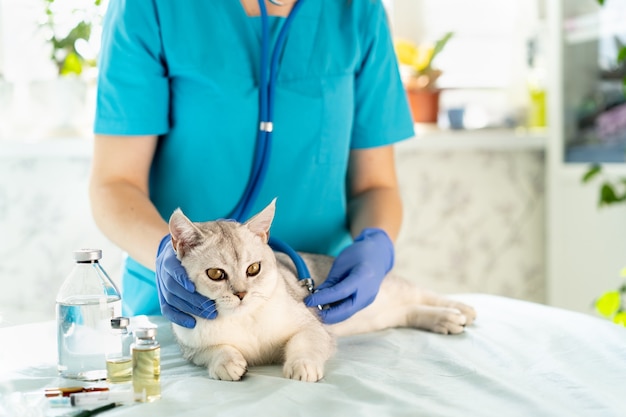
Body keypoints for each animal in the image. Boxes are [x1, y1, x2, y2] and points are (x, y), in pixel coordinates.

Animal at [169, 198, 472, 380]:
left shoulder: (311, 325)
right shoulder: (191, 347)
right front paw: (227, 362)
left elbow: (305, 343)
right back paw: (445, 320)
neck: (245, 319)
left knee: (423, 294)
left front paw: (302, 366)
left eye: (253, 269)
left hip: (389, 289)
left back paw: (459, 311)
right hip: (382, 316)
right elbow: (215, 349)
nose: (241, 293)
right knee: (409, 311)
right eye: (216, 274)